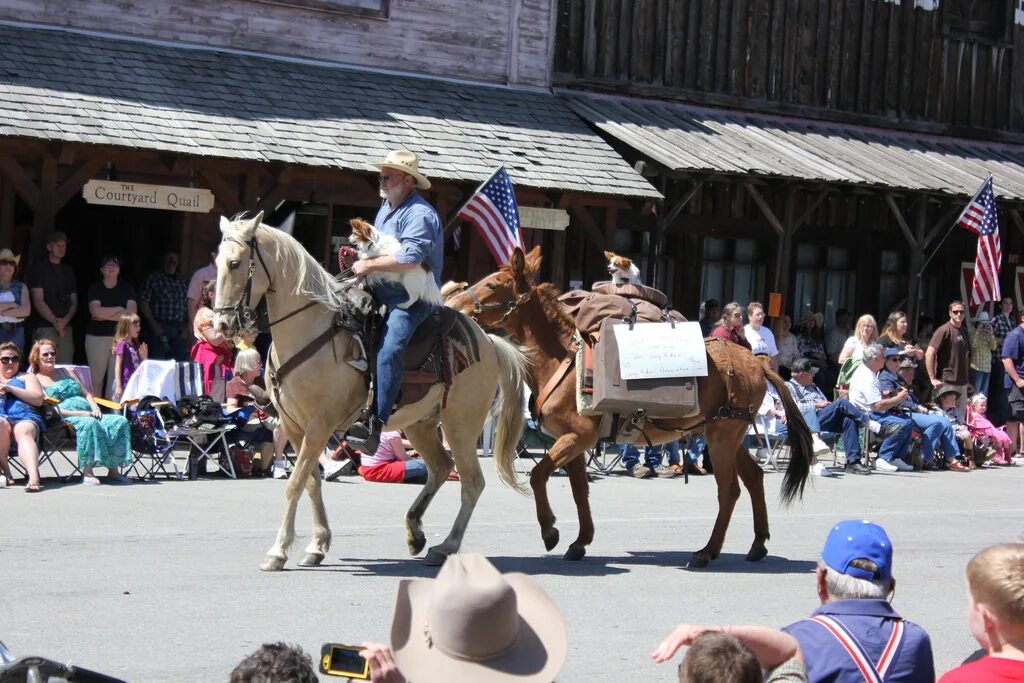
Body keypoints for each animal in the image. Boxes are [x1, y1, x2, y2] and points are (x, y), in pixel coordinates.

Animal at [214, 215, 528, 573]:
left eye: (235, 263)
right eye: (218, 262)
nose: (222, 325)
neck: (308, 332)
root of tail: (488, 341)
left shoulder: (319, 424)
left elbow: (295, 482)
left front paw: (278, 551)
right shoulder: (293, 425)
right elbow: (310, 480)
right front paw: (317, 545)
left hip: (460, 425)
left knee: (472, 482)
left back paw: (444, 547)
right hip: (420, 424)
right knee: (439, 467)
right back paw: (416, 532)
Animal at [444, 245, 811, 565]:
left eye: (492, 284)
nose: (454, 303)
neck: (563, 359)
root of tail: (756, 362)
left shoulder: (578, 437)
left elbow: (537, 475)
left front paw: (550, 530)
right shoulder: (573, 441)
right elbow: (578, 489)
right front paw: (580, 541)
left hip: (723, 436)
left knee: (730, 490)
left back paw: (707, 552)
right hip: (729, 434)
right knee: (754, 478)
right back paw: (758, 543)